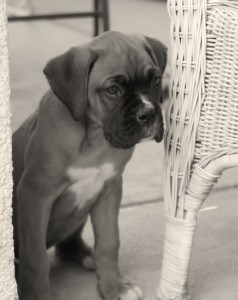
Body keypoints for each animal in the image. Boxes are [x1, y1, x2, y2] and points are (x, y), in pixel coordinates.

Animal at [12, 31, 166, 300]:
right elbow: (36, 259)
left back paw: (88, 257)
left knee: (67, 244)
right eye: (112, 90)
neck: (93, 137)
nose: (147, 113)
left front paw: (114, 287)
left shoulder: (110, 189)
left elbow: (109, 242)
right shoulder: (34, 195)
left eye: (155, 80)